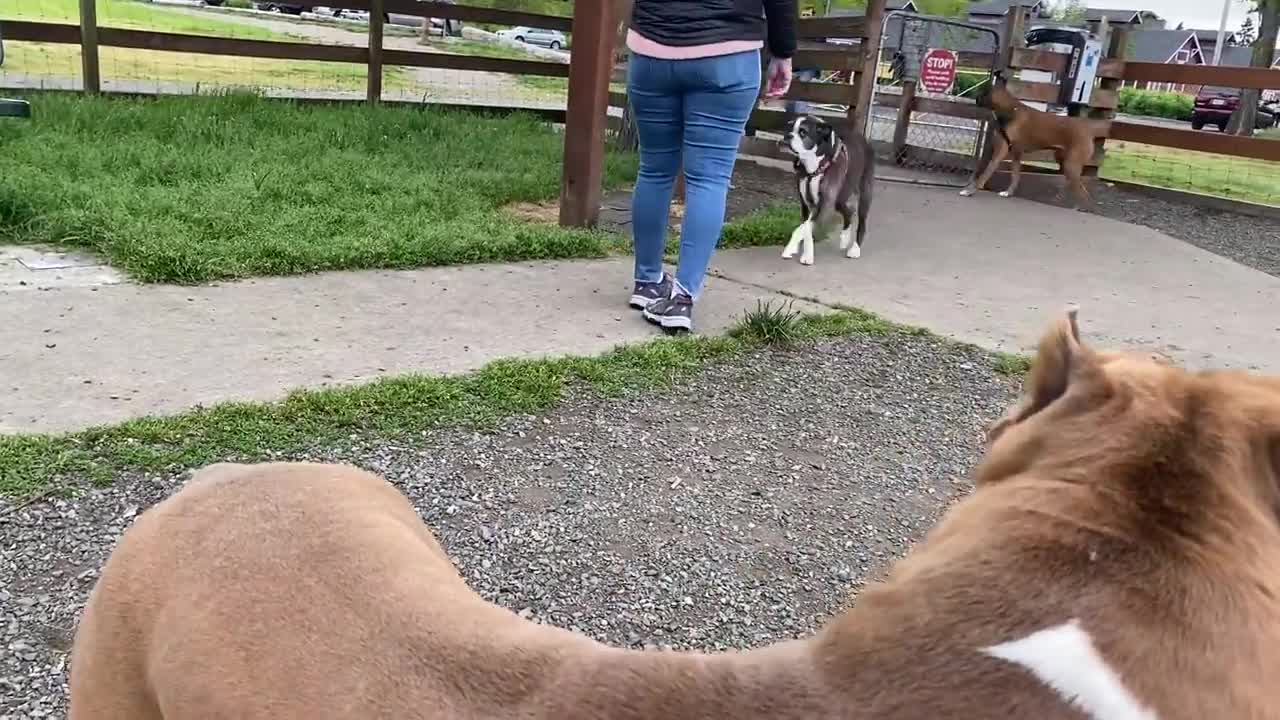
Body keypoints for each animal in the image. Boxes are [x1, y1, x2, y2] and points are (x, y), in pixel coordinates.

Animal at [962, 68, 1105, 207]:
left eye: (983, 91)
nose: (976, 98)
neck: (1011, 109)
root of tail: (1088, 128)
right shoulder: (1016, 154)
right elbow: (1015, 176)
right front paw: (1008, 192)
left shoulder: (1000, 151)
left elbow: (985, 173)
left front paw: (970, 191)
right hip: (1063, 161)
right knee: (1075, 185)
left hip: (1071, 164)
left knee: (1083, 192)